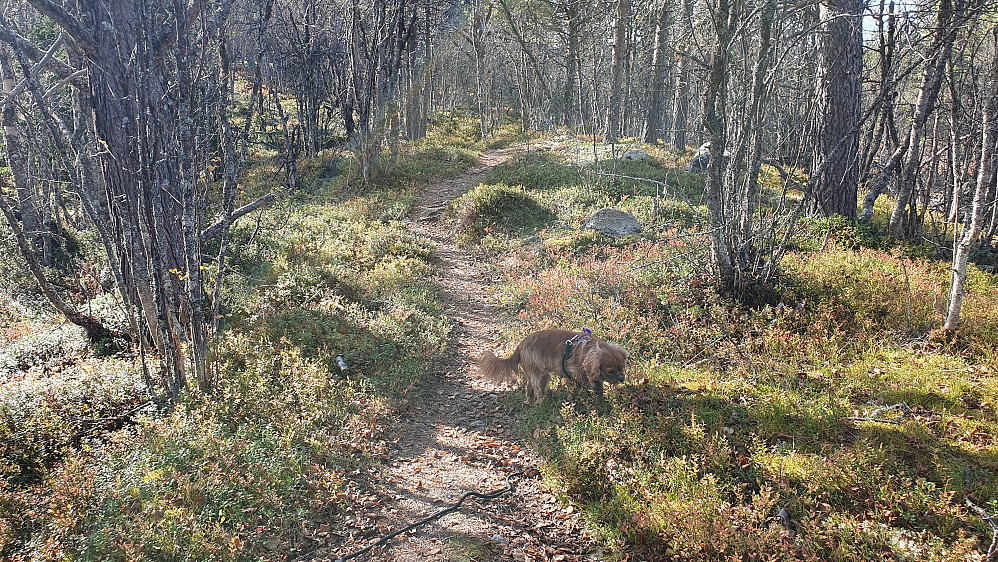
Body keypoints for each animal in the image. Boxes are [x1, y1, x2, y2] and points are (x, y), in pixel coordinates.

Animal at [478, 328, 632, 402]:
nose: (621, 379)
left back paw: (530, 402)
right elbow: (575, 390)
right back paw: (543, 403)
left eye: (622, 368)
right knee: (537, 391)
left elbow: (598, 387)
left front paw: (600, 399)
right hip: (540, 376)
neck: (587, 349)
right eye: (610, 371)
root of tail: (521, 344)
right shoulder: (572, 374)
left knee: (529, 389)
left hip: (537, 375)